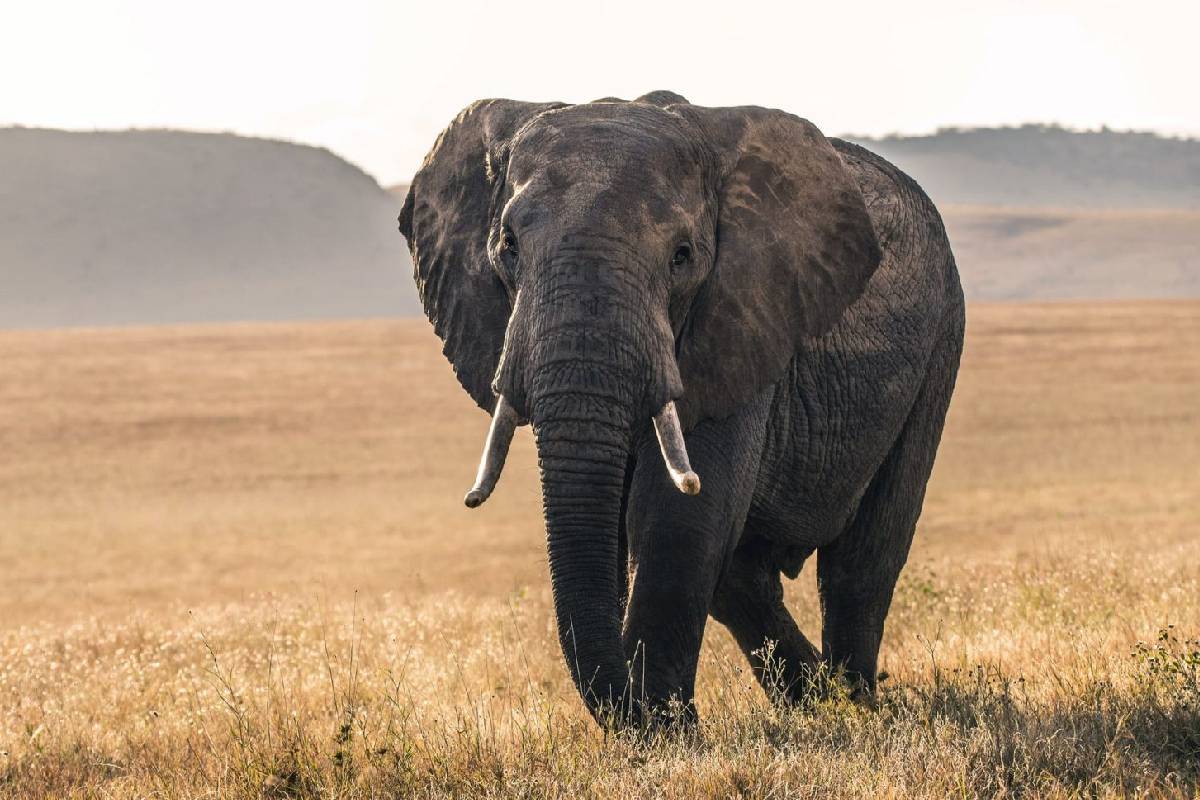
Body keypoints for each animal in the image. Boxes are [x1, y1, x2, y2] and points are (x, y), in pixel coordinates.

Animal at [398, 90, 964, 726]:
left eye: (682, 256)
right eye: (508, 246)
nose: (636, 707)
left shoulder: (741, 315)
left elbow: (677, 518)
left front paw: (665, 732)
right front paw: (660, 723)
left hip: (942, 336)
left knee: (861, 561)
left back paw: (854, 706)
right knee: (743, 577)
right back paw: (814, 702)